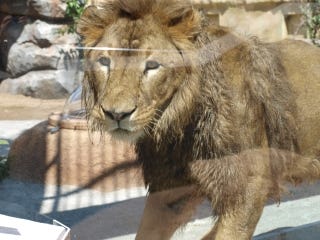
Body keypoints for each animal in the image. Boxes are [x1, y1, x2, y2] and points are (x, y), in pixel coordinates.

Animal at [76, 0, 320, 239]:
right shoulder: (168, 186)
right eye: (104, 62)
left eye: (152, 66)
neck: (180, 126)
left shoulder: (248, 185)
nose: (116, 114)